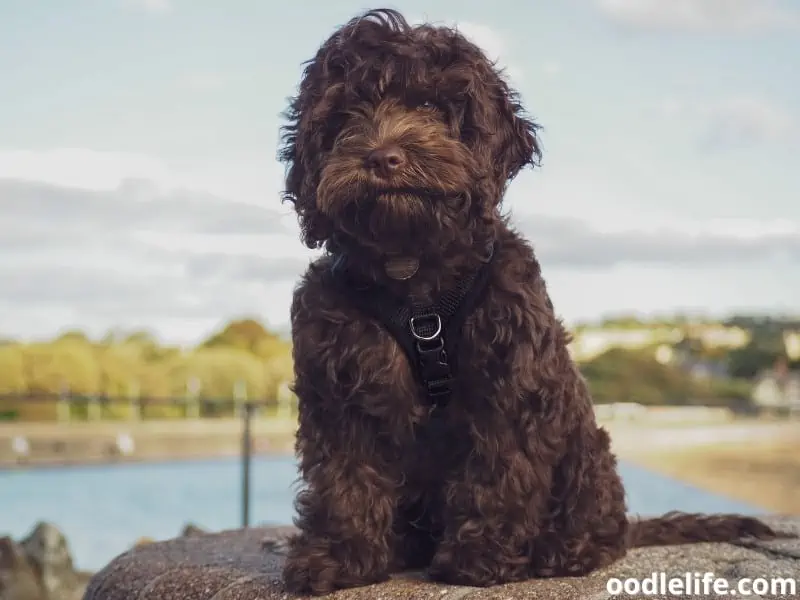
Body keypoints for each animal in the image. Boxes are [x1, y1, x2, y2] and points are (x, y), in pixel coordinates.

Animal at [276, 8, 788, 596]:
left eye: (429, 106)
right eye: (345, 116)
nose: (383, 157)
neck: (414, 277)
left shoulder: (511, 381)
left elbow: (500, 469)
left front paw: (482, 555)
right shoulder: (339, 389)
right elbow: (345, 478)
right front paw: (340, 557)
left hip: (588, 452)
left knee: (602, 526)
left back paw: (564, 550)